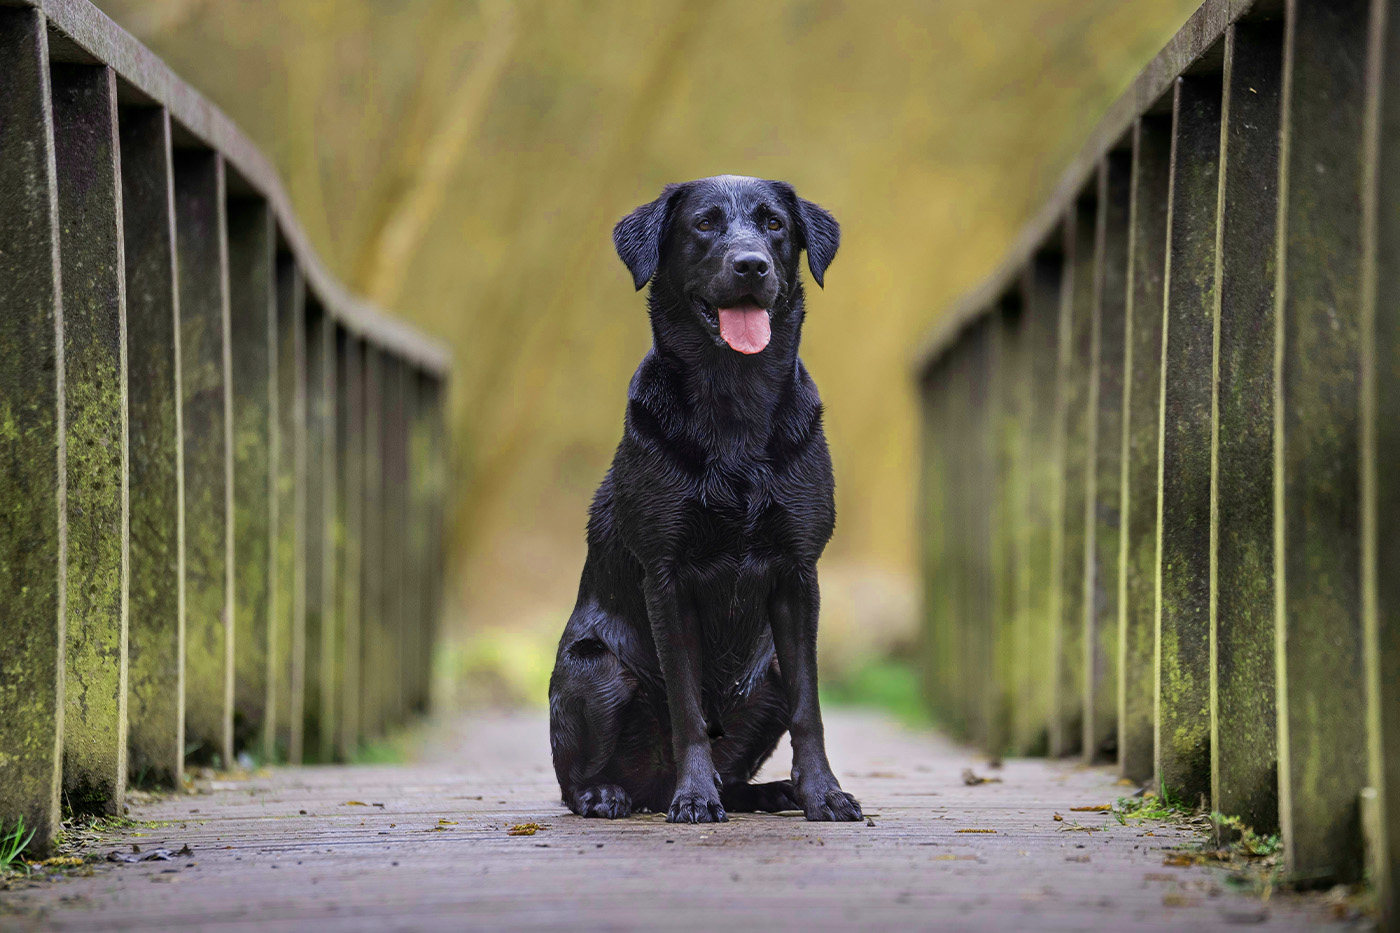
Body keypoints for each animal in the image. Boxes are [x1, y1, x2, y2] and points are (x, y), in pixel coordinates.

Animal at [548, 174, 862, 823]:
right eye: (705, 224)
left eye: (774, 225)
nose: (751, 265)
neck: (735, 401)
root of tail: (648, 790)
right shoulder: (667, 577)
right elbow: (687, 707)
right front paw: (695, 798)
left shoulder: (799, 574)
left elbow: (810, 709)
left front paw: (823, 793)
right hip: (594, 666)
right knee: (575, 782)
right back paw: (612, 794)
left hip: (767, 672)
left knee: (738, 769)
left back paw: (771, 792)